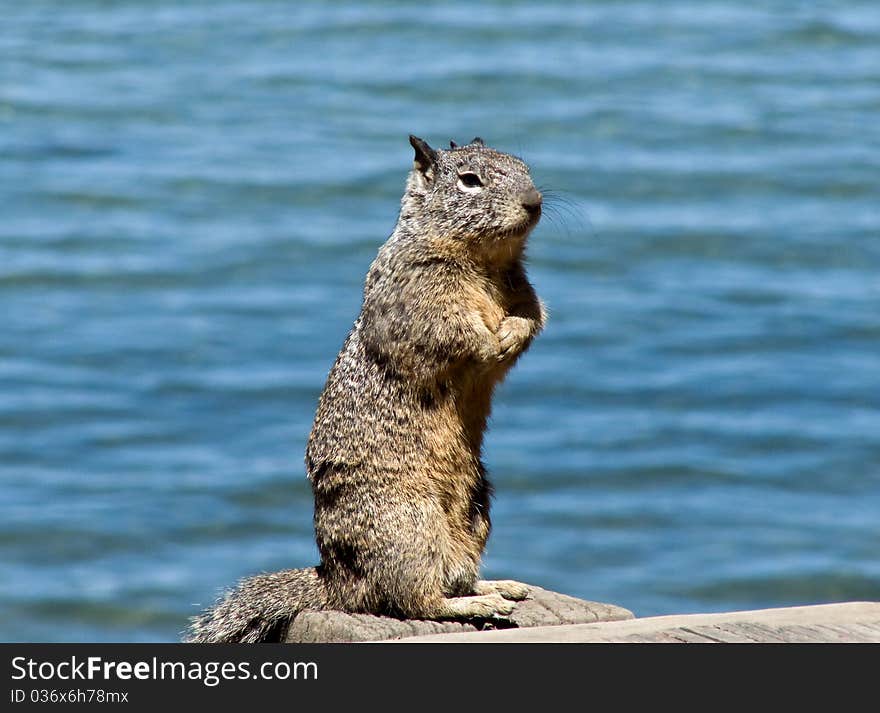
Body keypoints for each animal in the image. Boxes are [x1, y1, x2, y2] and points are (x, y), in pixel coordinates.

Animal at [186, 134, 544, 640]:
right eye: (469, 180)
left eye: (523, 166)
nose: (533, 202)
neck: (484, 263)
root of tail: (338, 582)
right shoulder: (422, 297)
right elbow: (455, 332)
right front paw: (491, 339)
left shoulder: (522, 287)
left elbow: (533, 316)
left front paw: (512, 331)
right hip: (409, 525)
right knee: (414, 599)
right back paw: (480, 604)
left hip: (476, 511)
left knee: (452, 576)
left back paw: (498, 587)